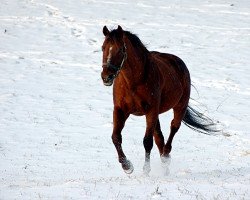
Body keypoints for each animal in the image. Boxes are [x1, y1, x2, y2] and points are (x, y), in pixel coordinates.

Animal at [100, 25, 218, 174]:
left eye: (121, 49)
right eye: (103, 47)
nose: (106, 77)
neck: (134, 82)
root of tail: (179, 62)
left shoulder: (151, 111)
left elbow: (147, 141)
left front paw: (146, 170)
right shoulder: (120, 110)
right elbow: (116, 137)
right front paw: (127, 166)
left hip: (179, 106)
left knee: (173, 128)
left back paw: (166, 156)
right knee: (159, 138)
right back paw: (164, 165)